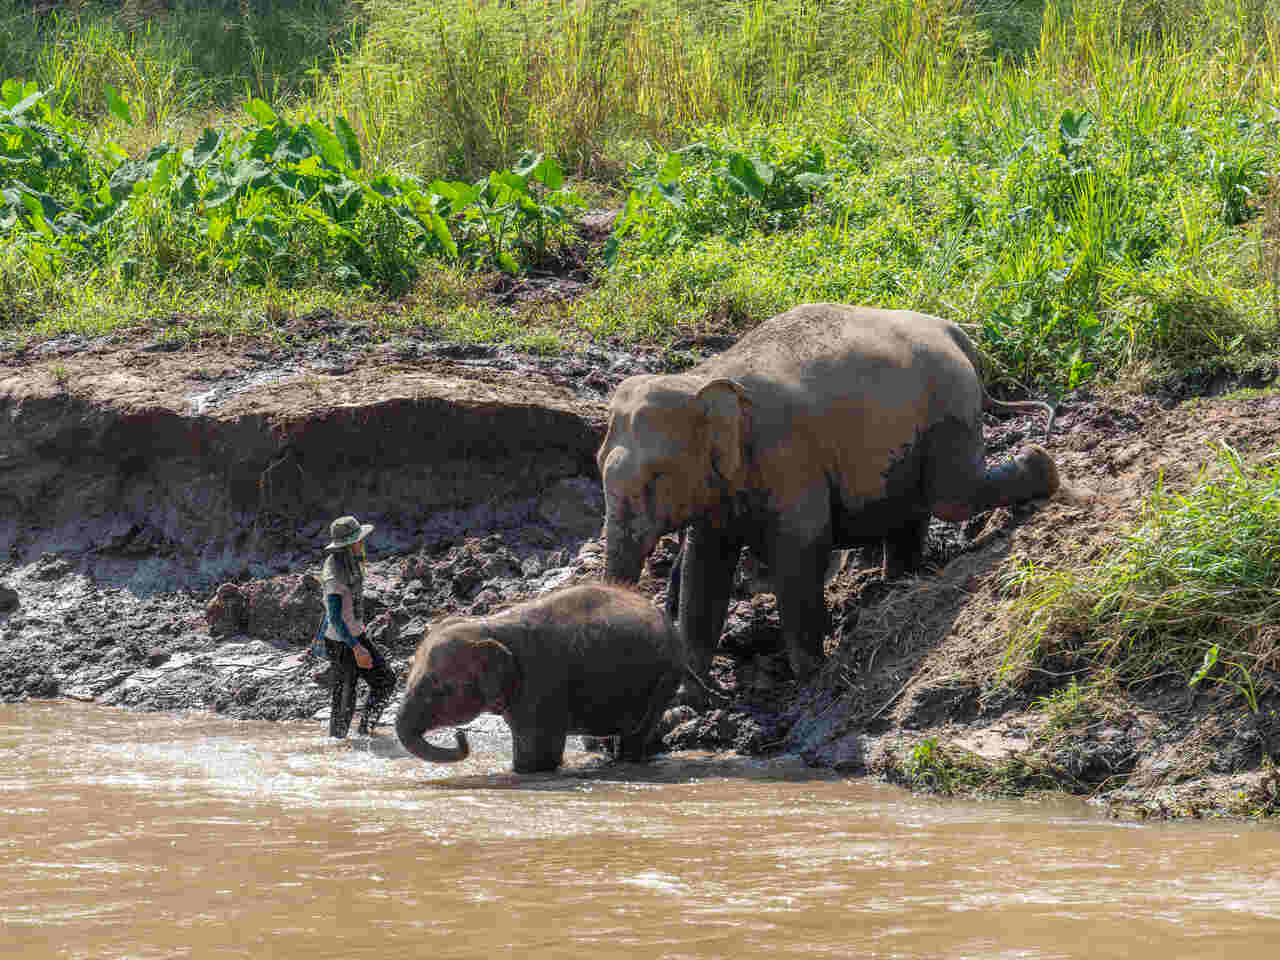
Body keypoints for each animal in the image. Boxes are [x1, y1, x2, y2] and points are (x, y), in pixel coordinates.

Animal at [395, 583, 686, 773]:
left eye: (440, 690)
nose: (461, 736)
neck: (487, 625)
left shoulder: (541, 682)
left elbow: (536, 757)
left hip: (664, 676)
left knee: (637, 732)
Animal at [597, 302, 1060, 686]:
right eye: (597, 461)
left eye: (655, 477)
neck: (702, 376)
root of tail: (954, 332)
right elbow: (705, 562)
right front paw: (692, 688)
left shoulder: (788, 455)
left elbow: (800, 547)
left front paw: (809, 675)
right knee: (915, 506)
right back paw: (897, 582)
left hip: (950, 404)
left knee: (952, 497)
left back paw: (1042, 465)